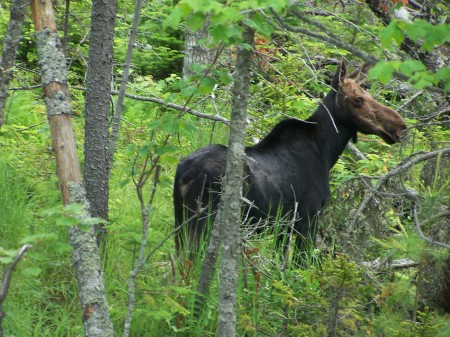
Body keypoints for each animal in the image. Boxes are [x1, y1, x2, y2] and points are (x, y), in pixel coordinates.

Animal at [174, 60, 406, 262]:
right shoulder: (308, 218)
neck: (326, 151)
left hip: (180, 219)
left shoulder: (284, 226)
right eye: (358, 100)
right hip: (202, 221)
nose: (399, 124)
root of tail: (185, 172)